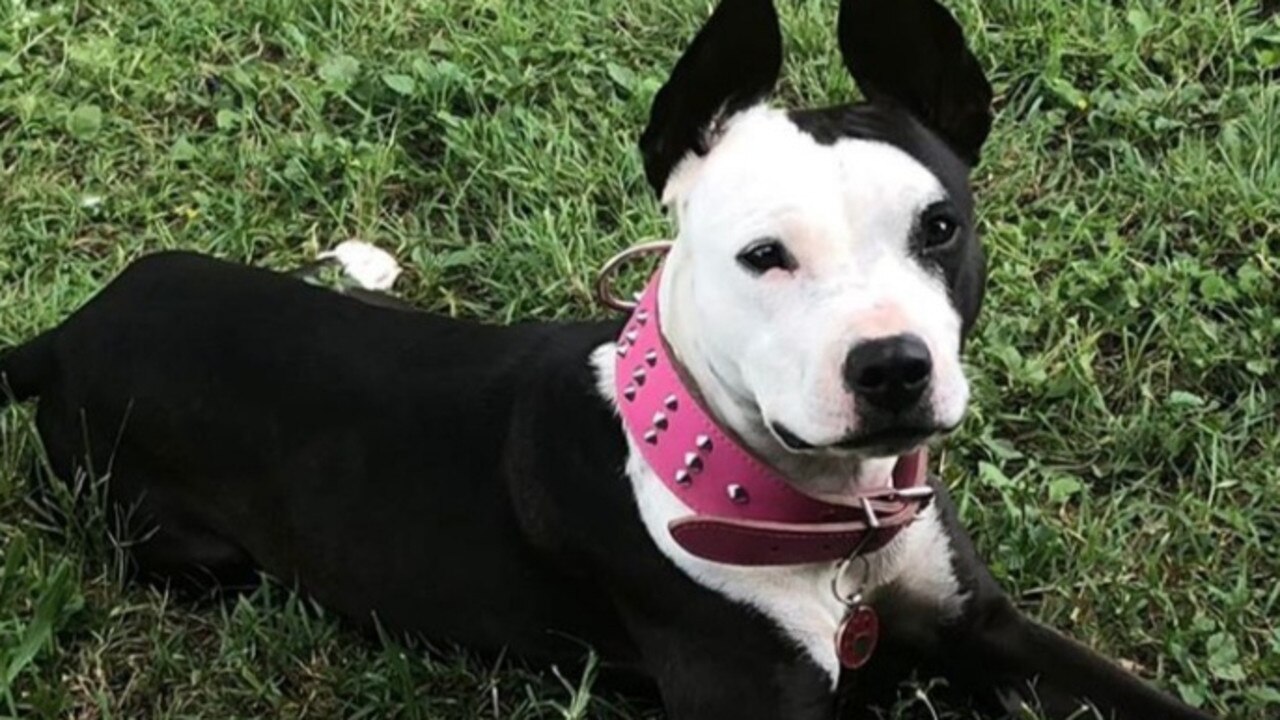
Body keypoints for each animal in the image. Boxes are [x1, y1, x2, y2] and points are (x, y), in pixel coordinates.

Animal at [0, 1, 1213, 717]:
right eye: (761, 256)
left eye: (940, 226)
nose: (892, 369)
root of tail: (67, 331)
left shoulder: (982, 623)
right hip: (178, 543)